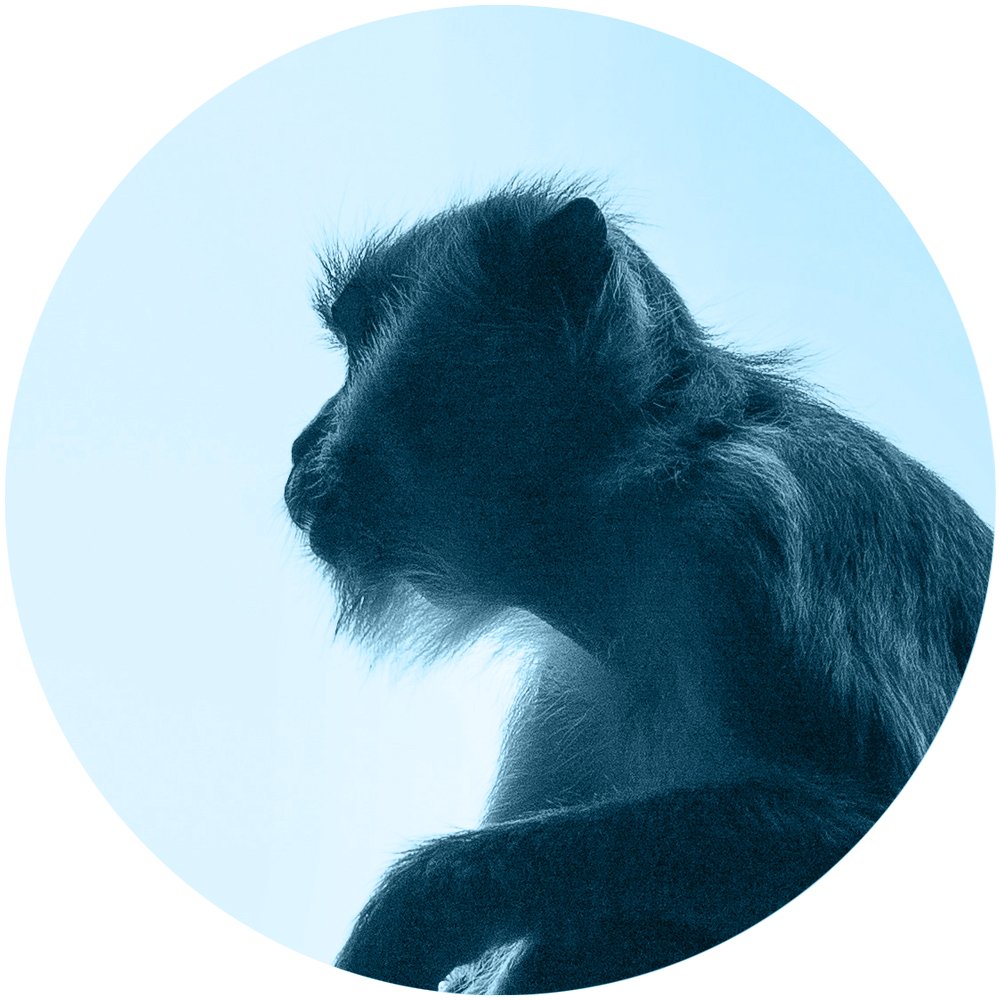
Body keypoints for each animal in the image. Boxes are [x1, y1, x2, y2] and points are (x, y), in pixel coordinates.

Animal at [283, 179, 992, 993]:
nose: (301, 444)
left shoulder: (750, 535)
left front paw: (424, 901)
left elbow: (854, 816)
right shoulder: (565, 679)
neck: (634, 494)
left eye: (364, 339)